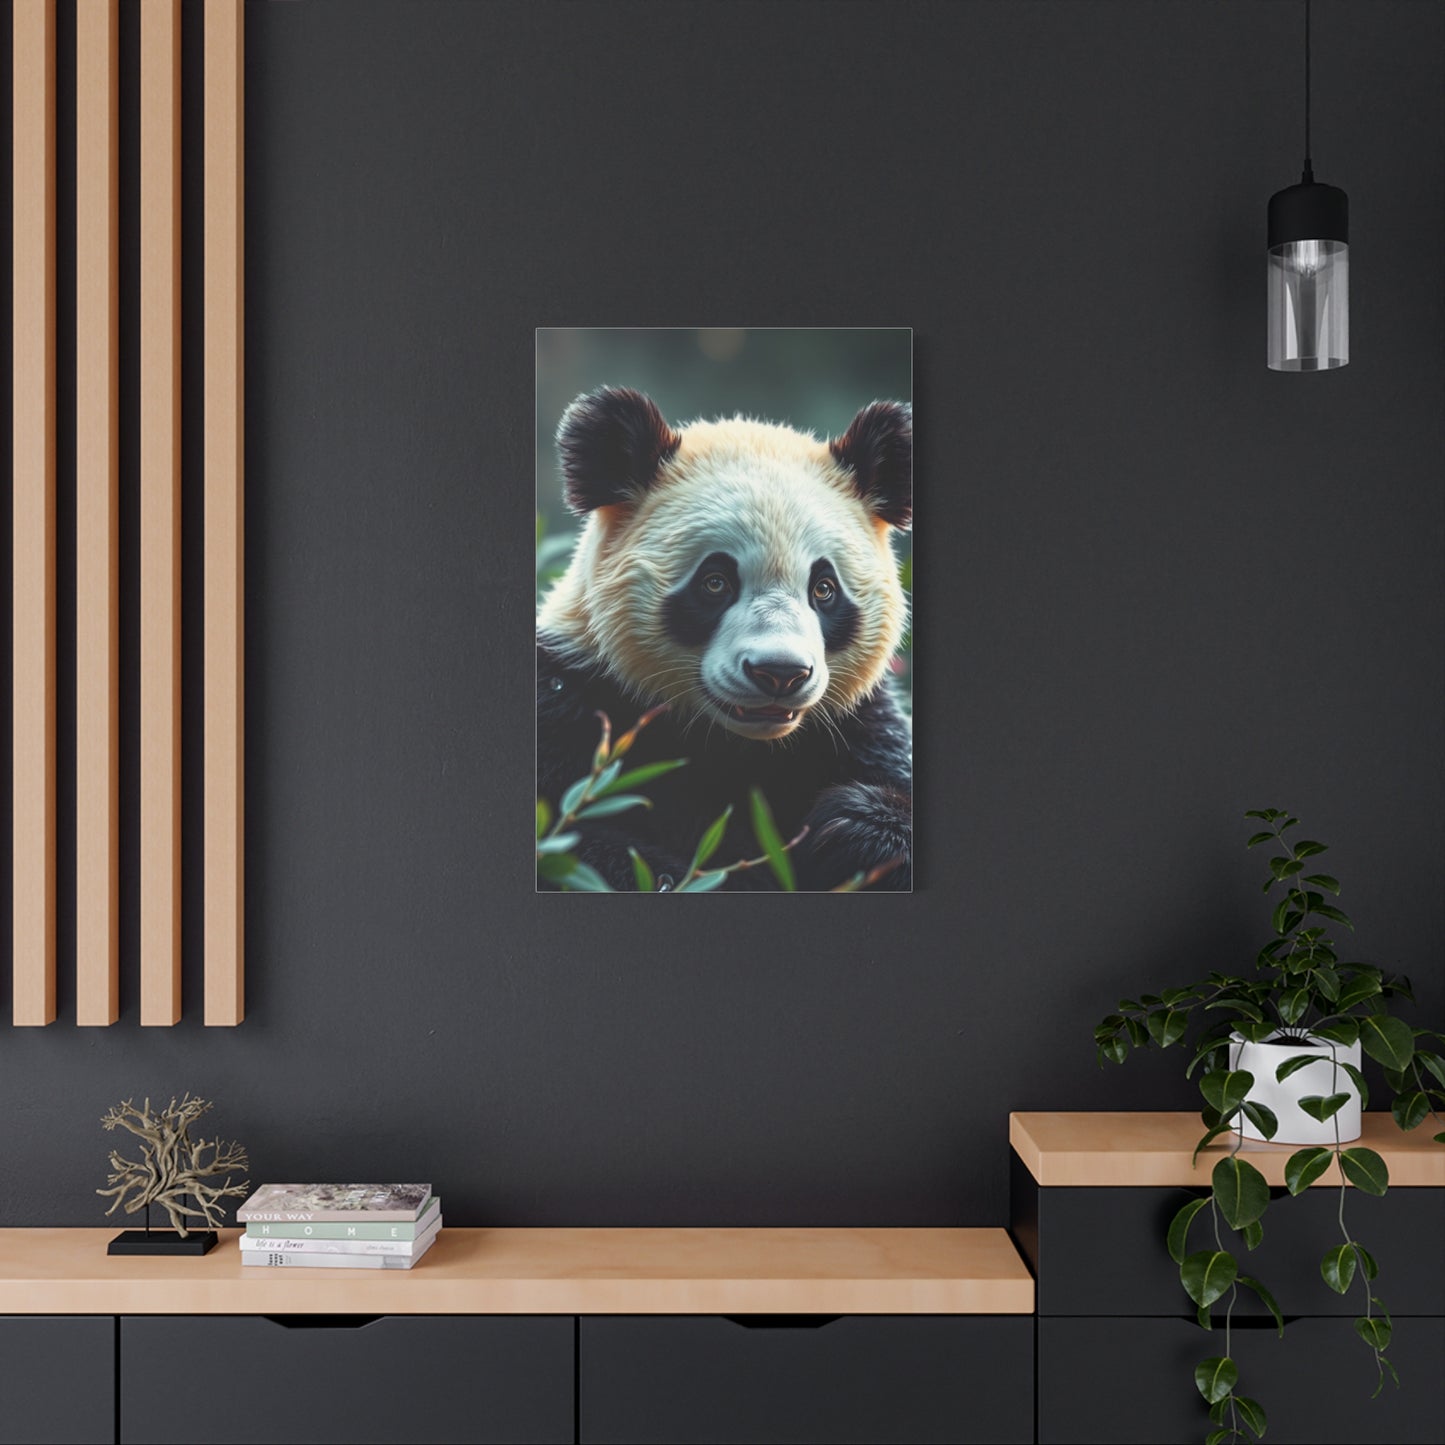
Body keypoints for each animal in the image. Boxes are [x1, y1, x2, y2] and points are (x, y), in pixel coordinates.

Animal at [537, 386, 912, 892]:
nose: (780, 673)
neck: (738, 743)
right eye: (715, 582)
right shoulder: (571, 706)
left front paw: (853, 829)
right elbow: (582, 847)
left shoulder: (859, 727)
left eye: (823, 588)